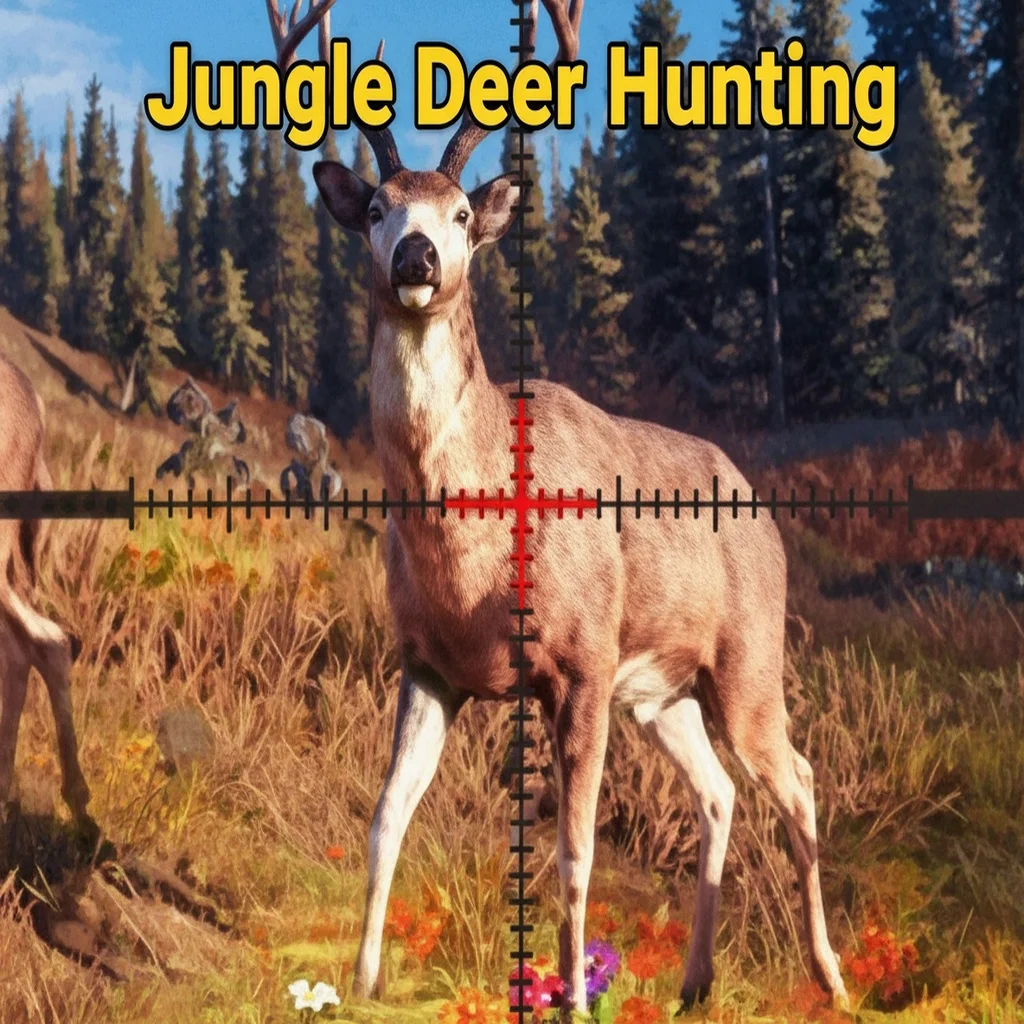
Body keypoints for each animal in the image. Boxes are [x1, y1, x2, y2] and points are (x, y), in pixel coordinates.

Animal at [262, 0, 850, 1013]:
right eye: (376, 209)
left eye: (462, 214)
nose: (417, 255)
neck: (474, 550)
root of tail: (757, 501)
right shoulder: (426, 663)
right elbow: (385, 818)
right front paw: (364, 979)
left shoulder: (580, 665)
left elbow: (574, 855)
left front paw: (573, 994)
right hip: (661, 691)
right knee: (718, 791)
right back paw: (695, 982)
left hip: (746, 657)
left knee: (801, 778)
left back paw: (831, 976)